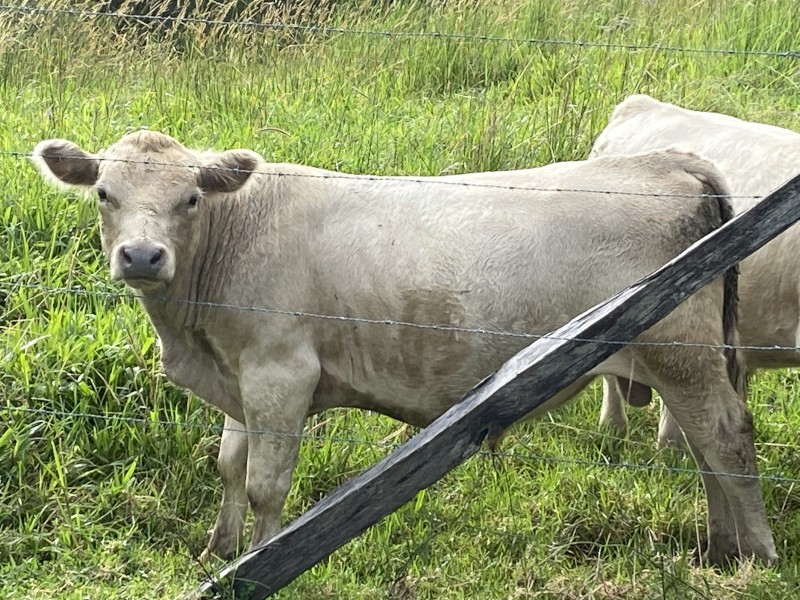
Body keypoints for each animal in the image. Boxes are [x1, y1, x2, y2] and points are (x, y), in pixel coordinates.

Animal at [33, 130, 777, 567]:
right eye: (105, 193)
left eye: (190, 198)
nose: (142, 256)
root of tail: (669, 160)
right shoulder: (240, 378)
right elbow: (229, 467)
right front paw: (219, 549)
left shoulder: (280, 372)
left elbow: (266, 484)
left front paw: (256, 564)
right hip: (680, 359)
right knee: (703, 449)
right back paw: (722, 548)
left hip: (680, 348)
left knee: (727, 439)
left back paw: (760, 554)